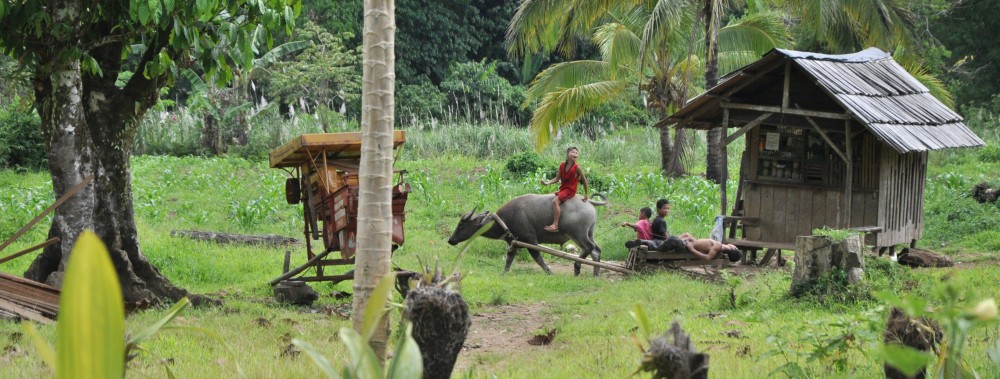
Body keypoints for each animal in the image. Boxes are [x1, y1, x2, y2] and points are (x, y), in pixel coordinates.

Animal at [448, 194, 604, 278]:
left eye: (461, 224)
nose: (451, 240)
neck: (504, 220)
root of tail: (589, 201)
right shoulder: (513, 243)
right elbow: (509, 260)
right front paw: (503, 274)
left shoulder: (530, 241)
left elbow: (538, 259)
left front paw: (550, 272)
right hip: (589, 233)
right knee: (596, 251)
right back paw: (595, 273)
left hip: (577, 234)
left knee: (589, 248)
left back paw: (577, 267)